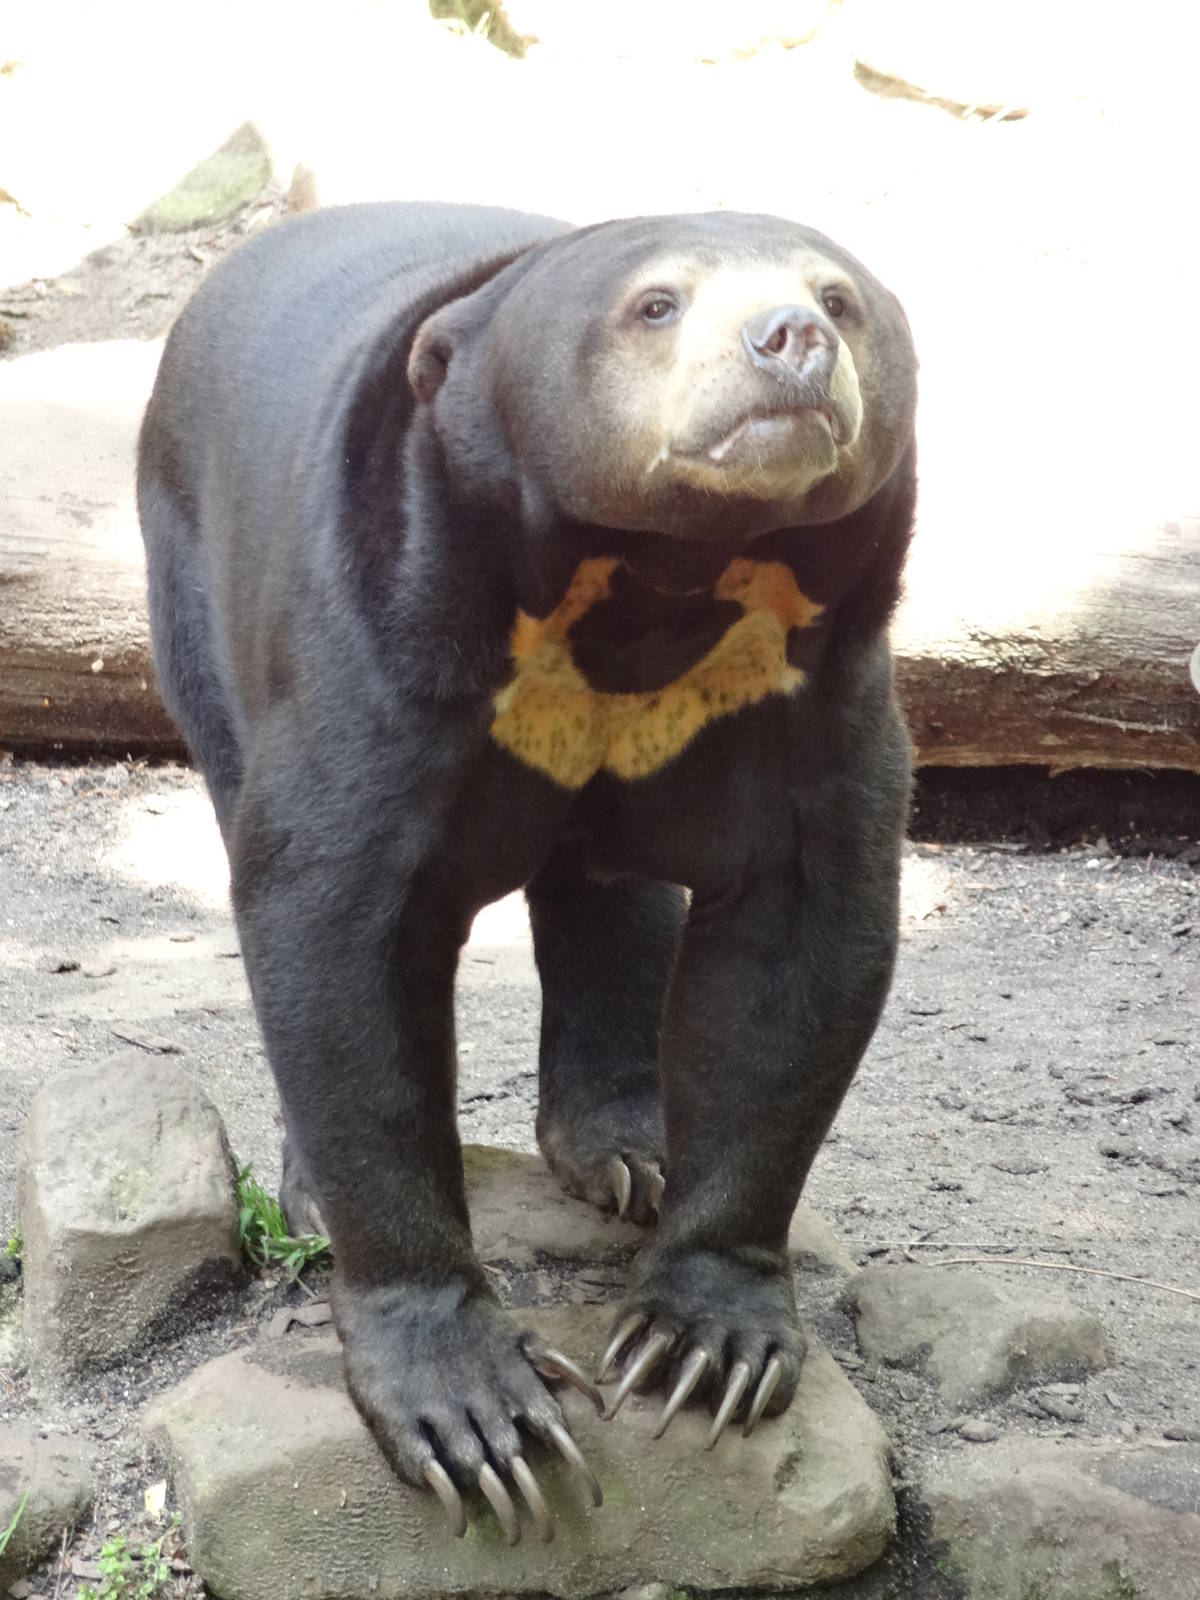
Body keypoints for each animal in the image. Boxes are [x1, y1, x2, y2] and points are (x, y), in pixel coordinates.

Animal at [137, 201, 919, 1543]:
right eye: (657, 303)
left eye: (840, 297)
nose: (791, 340)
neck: (652, 579)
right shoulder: (386, 636)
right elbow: (335, 928)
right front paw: (477, 1416)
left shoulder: (815, 692)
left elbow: (799, 952)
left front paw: (702, 1349)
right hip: (191, 585)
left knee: (612, 899)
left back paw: (630, 1149)